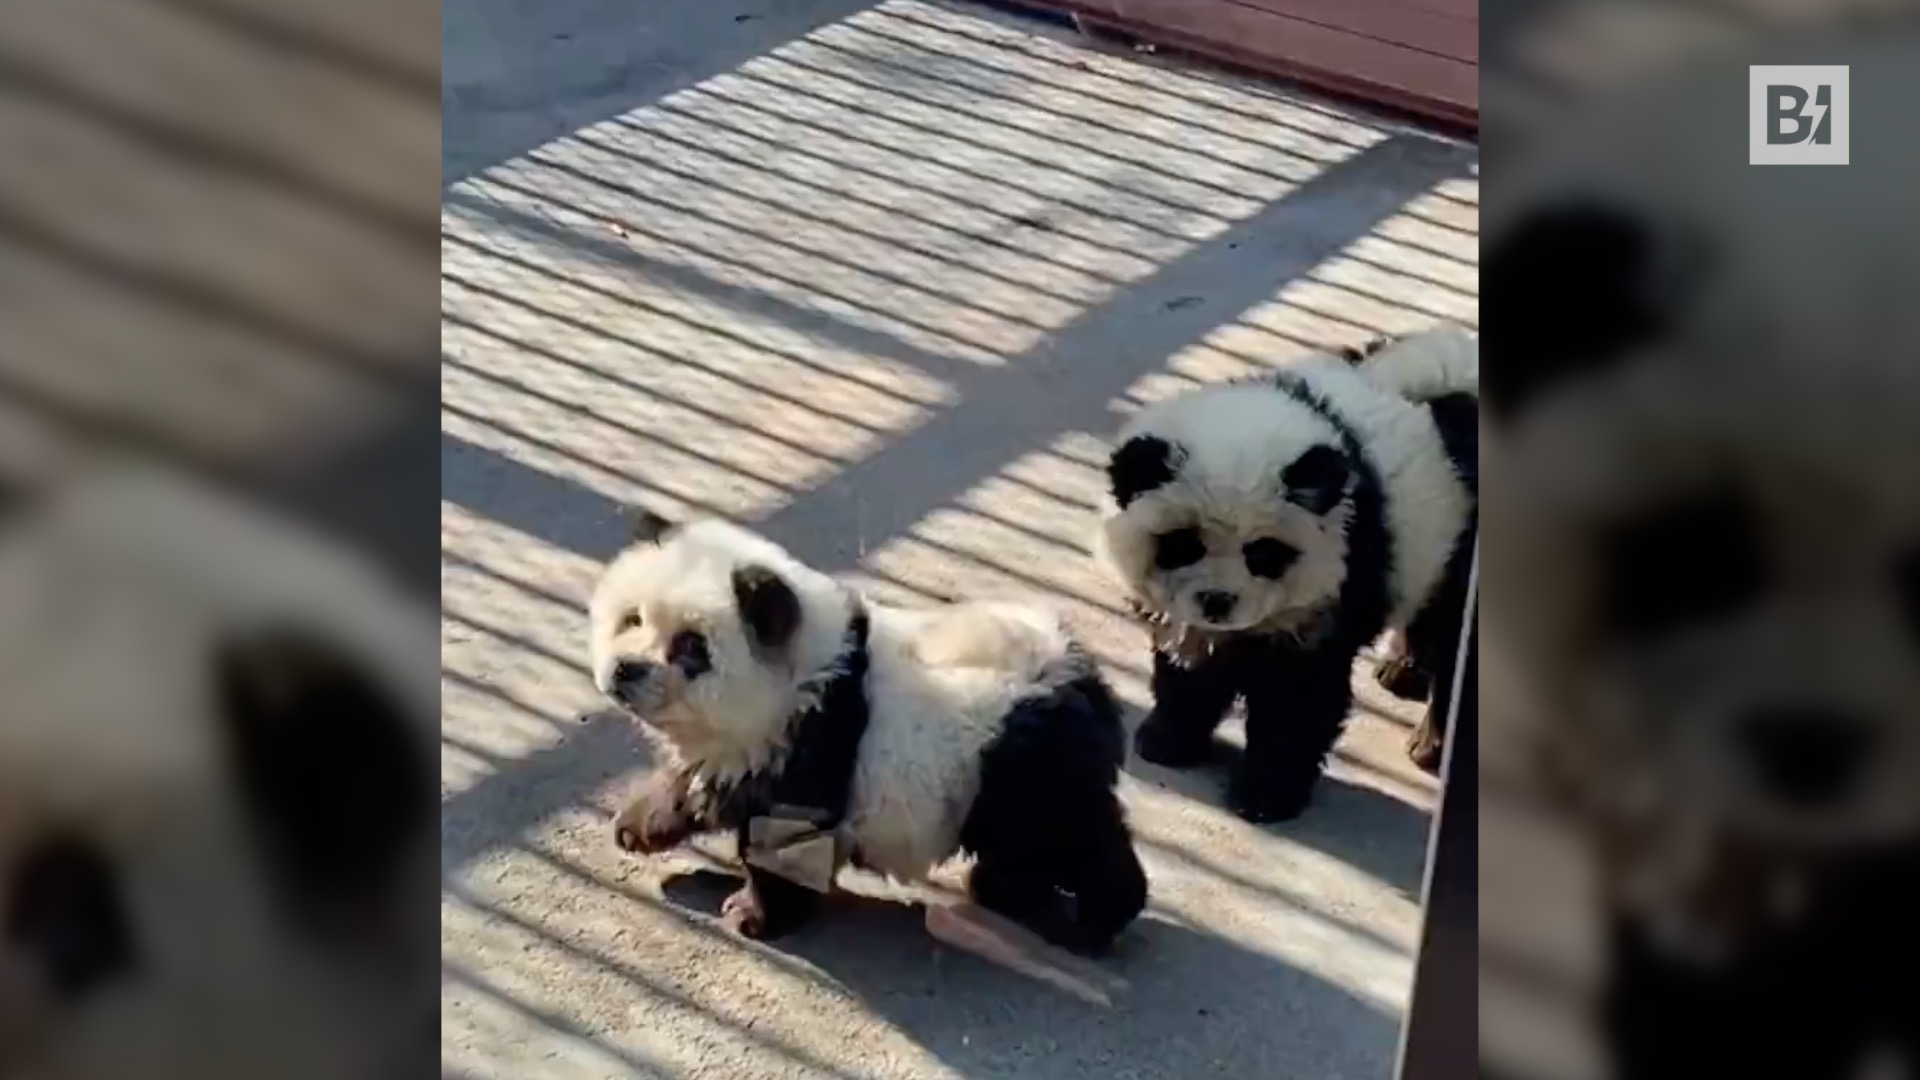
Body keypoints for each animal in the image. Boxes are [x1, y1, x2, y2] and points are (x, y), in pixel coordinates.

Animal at [589, 512, 1148, 955]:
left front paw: (755, 915)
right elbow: (701, 780)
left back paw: (1098, 920)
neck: (808, 672)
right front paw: (638, 825)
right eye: (631, 618)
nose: (625, 670)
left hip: (1023, 761)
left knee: (1069, 836)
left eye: (691, 646)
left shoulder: (814, 742)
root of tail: (1083, 677)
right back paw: (1006, 890)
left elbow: (784, 842)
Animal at [1094, 328, 1478, 823]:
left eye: (1263, 553)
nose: (1217, 601)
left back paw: (1430, 742)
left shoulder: (1335, 586)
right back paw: (1403, 670)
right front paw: (1166, 739)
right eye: (1184, 544)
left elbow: (1297, 701)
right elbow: (1191, 668)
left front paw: (1264, 796)